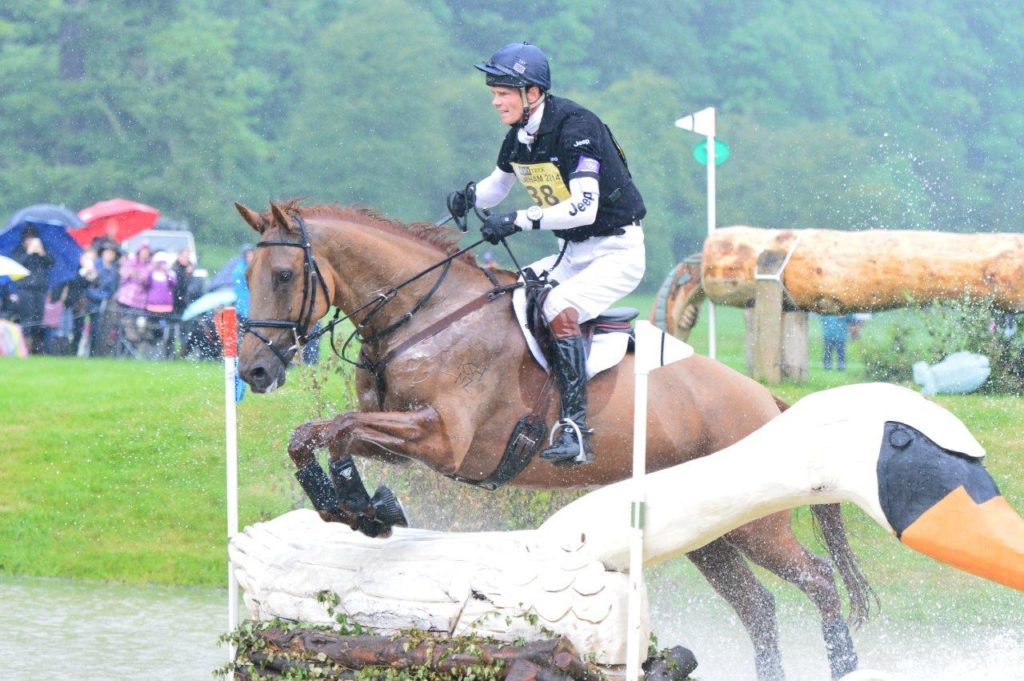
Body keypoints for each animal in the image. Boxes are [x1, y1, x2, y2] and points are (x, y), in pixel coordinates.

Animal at [235, 199, 876, 675]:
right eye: (246, 277)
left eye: (284, 275)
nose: (254, 372)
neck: (427, 316)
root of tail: (766, 400)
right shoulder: (402, 436)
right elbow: (314, 435)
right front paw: (352, 507)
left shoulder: (443, 441)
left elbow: (340, 432)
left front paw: (366, 507)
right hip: (708, 532)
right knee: (759, 607)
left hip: (756, 526)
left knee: (818, 580)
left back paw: (845, 663)